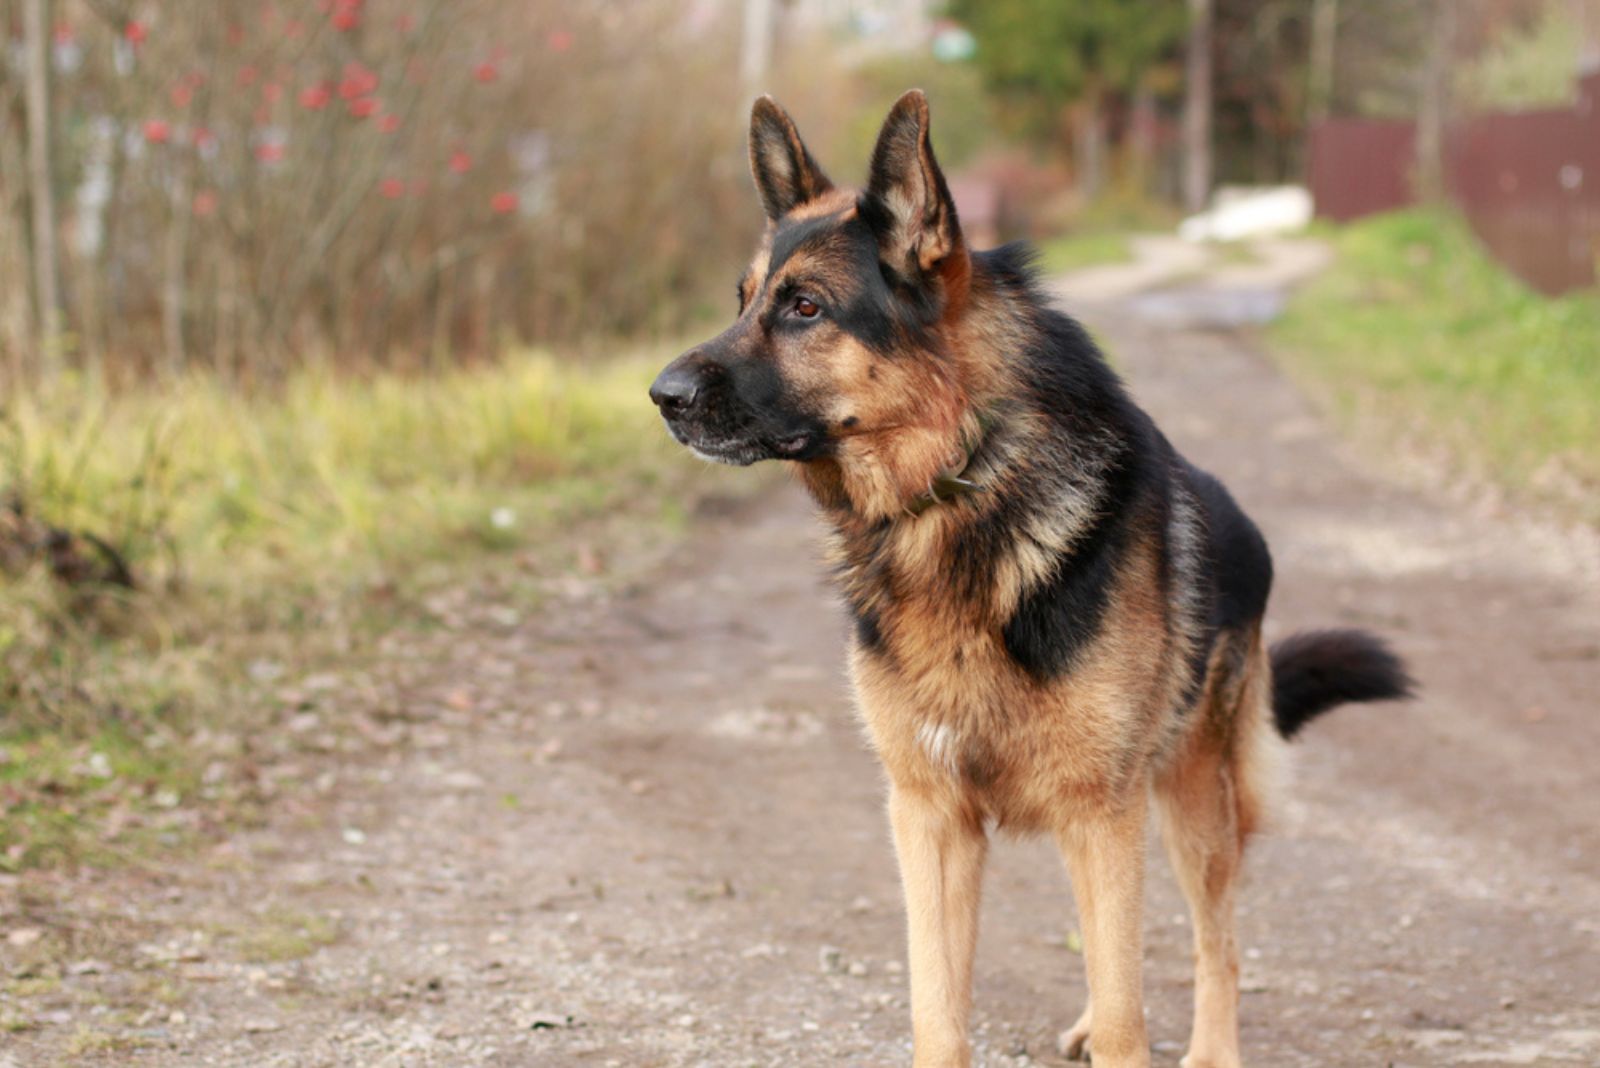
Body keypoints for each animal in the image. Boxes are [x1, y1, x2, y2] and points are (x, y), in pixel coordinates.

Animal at [649, 93, 1414, 1068]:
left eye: (806, 308)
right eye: (743, 302)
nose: (661, 394)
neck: (959, 485)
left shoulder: (1099, 811)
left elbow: (1131, 1013)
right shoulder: (930, 818)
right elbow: (940, 1008)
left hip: (1191, 805)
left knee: (1216, 942)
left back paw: (1211, 1048)